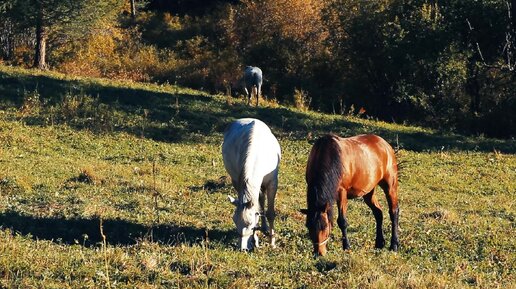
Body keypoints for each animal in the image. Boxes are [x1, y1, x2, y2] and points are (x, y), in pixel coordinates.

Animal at [221, 118, 280, 249]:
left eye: (250, 223)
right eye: (234, 220)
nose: (242, 248)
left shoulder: (272, 183)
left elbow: (270, 213)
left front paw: (272, 242)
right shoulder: (239, 182)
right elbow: (258, 208)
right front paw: (255, 238)